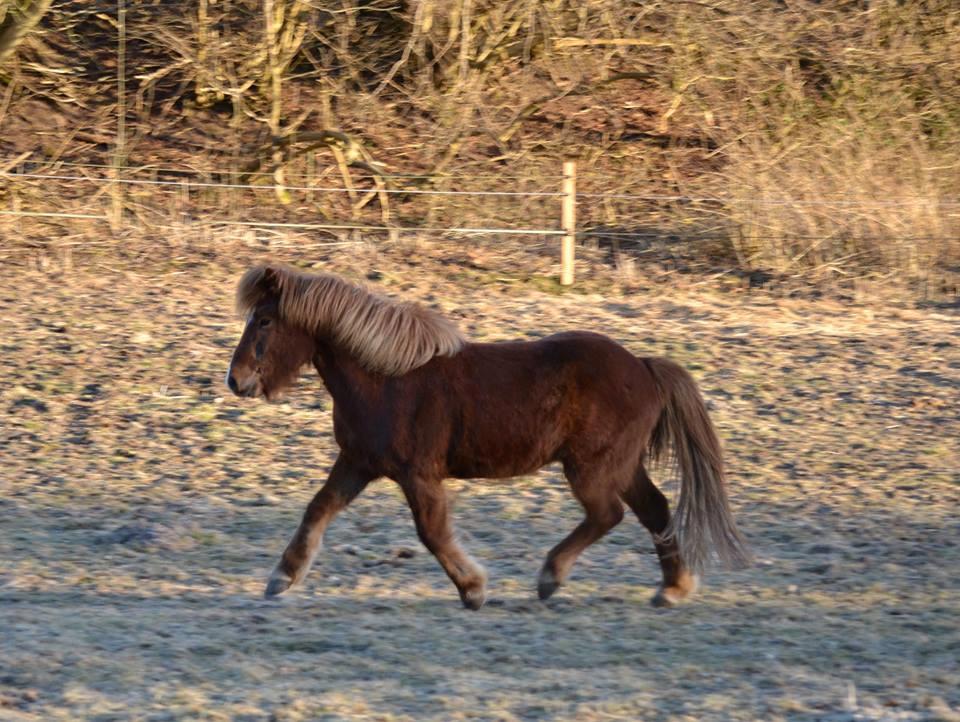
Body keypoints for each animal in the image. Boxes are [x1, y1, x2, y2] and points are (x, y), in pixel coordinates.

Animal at [227, 264, 752, 608]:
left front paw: (474, 589)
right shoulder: (358, 463)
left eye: (265, 320)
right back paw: (672, 588)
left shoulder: (417, 474)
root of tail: (643, 367)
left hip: (593, 467)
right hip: (621, 465)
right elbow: (318, 509)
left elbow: (432, 531)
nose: (236, 381)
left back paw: (550, 578)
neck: (387, 379)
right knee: (654, 509)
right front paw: (281, 578)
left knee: (608, 514)